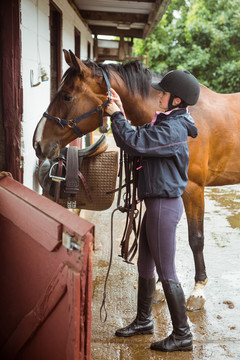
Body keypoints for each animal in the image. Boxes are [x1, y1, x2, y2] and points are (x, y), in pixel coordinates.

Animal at [32, 49, 240, 310]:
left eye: (67, 96)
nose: (38, 143)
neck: (185, 117)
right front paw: (161, 287)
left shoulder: (194, 190)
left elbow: (196, 239)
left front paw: (198, 291)